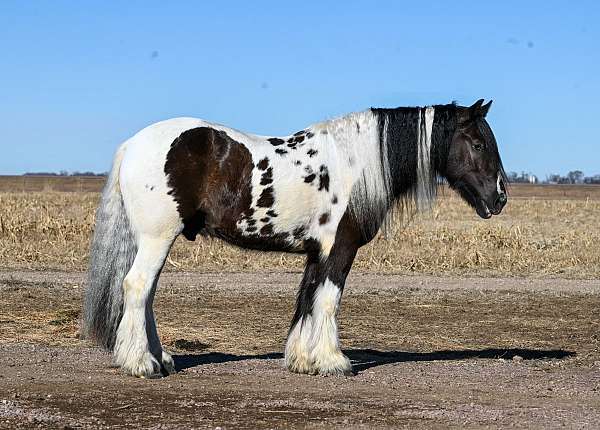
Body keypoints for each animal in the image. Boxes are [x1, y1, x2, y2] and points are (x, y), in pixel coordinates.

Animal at [83, 99, 506, 378]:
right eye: (479, 144)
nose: (500, 196)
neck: (355, 164)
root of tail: (134, 144)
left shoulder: (317, 252)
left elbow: (307, 299)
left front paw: (303, 360)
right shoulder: (340, 248)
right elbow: (329, 300)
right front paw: (334, 361)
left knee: (147, 294)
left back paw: (162, 358)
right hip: (157, 237)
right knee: (137, 287)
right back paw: (142, 364)